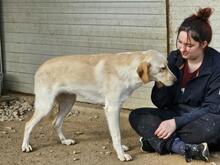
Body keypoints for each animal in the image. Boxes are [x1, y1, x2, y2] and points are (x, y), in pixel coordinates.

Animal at [21, 49, 175, 160]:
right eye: (162, 68)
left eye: (168, 66)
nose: (175, 80)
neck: (127, 70)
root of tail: (40, 67)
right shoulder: (112, 109)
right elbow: (117, 134)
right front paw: (121, 154)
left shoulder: (115, 108)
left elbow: (115, 133)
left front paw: (121, 149)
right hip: (45, 106)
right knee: (28, 125)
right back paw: (26, 146)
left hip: (68, 102)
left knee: (56, 122)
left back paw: (65, 141)